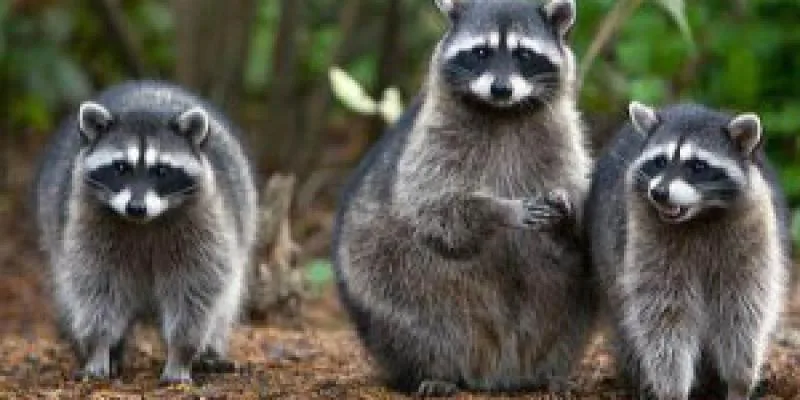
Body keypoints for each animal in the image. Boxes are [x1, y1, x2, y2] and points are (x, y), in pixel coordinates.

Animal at [33, 81, 258, 383]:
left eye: (161, 170)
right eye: (120, 168)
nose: (136, 208)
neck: (145, 223)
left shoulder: (206, 225)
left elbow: (195, 289)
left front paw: (181, 354)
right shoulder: (87, 224)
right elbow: (96, 288)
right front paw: (98, 348)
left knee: (225, 300)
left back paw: (211, 352)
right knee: (72, 289)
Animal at [333, 0, 593, 395]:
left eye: (524, 54)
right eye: (481, 52)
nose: (501, 89)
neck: (503, 112)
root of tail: (498, 371)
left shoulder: (563, 137)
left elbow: (579, 207)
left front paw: (566, 213)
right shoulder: (431, 139)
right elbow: (434, 207)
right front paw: (499, 209)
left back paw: (551, 373)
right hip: (385, 285)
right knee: (412, 320)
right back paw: (434, 371)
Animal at [586, 102, 791, 400]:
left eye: (697, 166)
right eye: (659, 161)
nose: (659, 193)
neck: (699, 216)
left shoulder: (753, 231)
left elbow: (743, 309)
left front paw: (739, 381)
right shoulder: (646, 240)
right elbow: (663, 317)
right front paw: (673, 388)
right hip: (607, 260)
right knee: (625, 320)